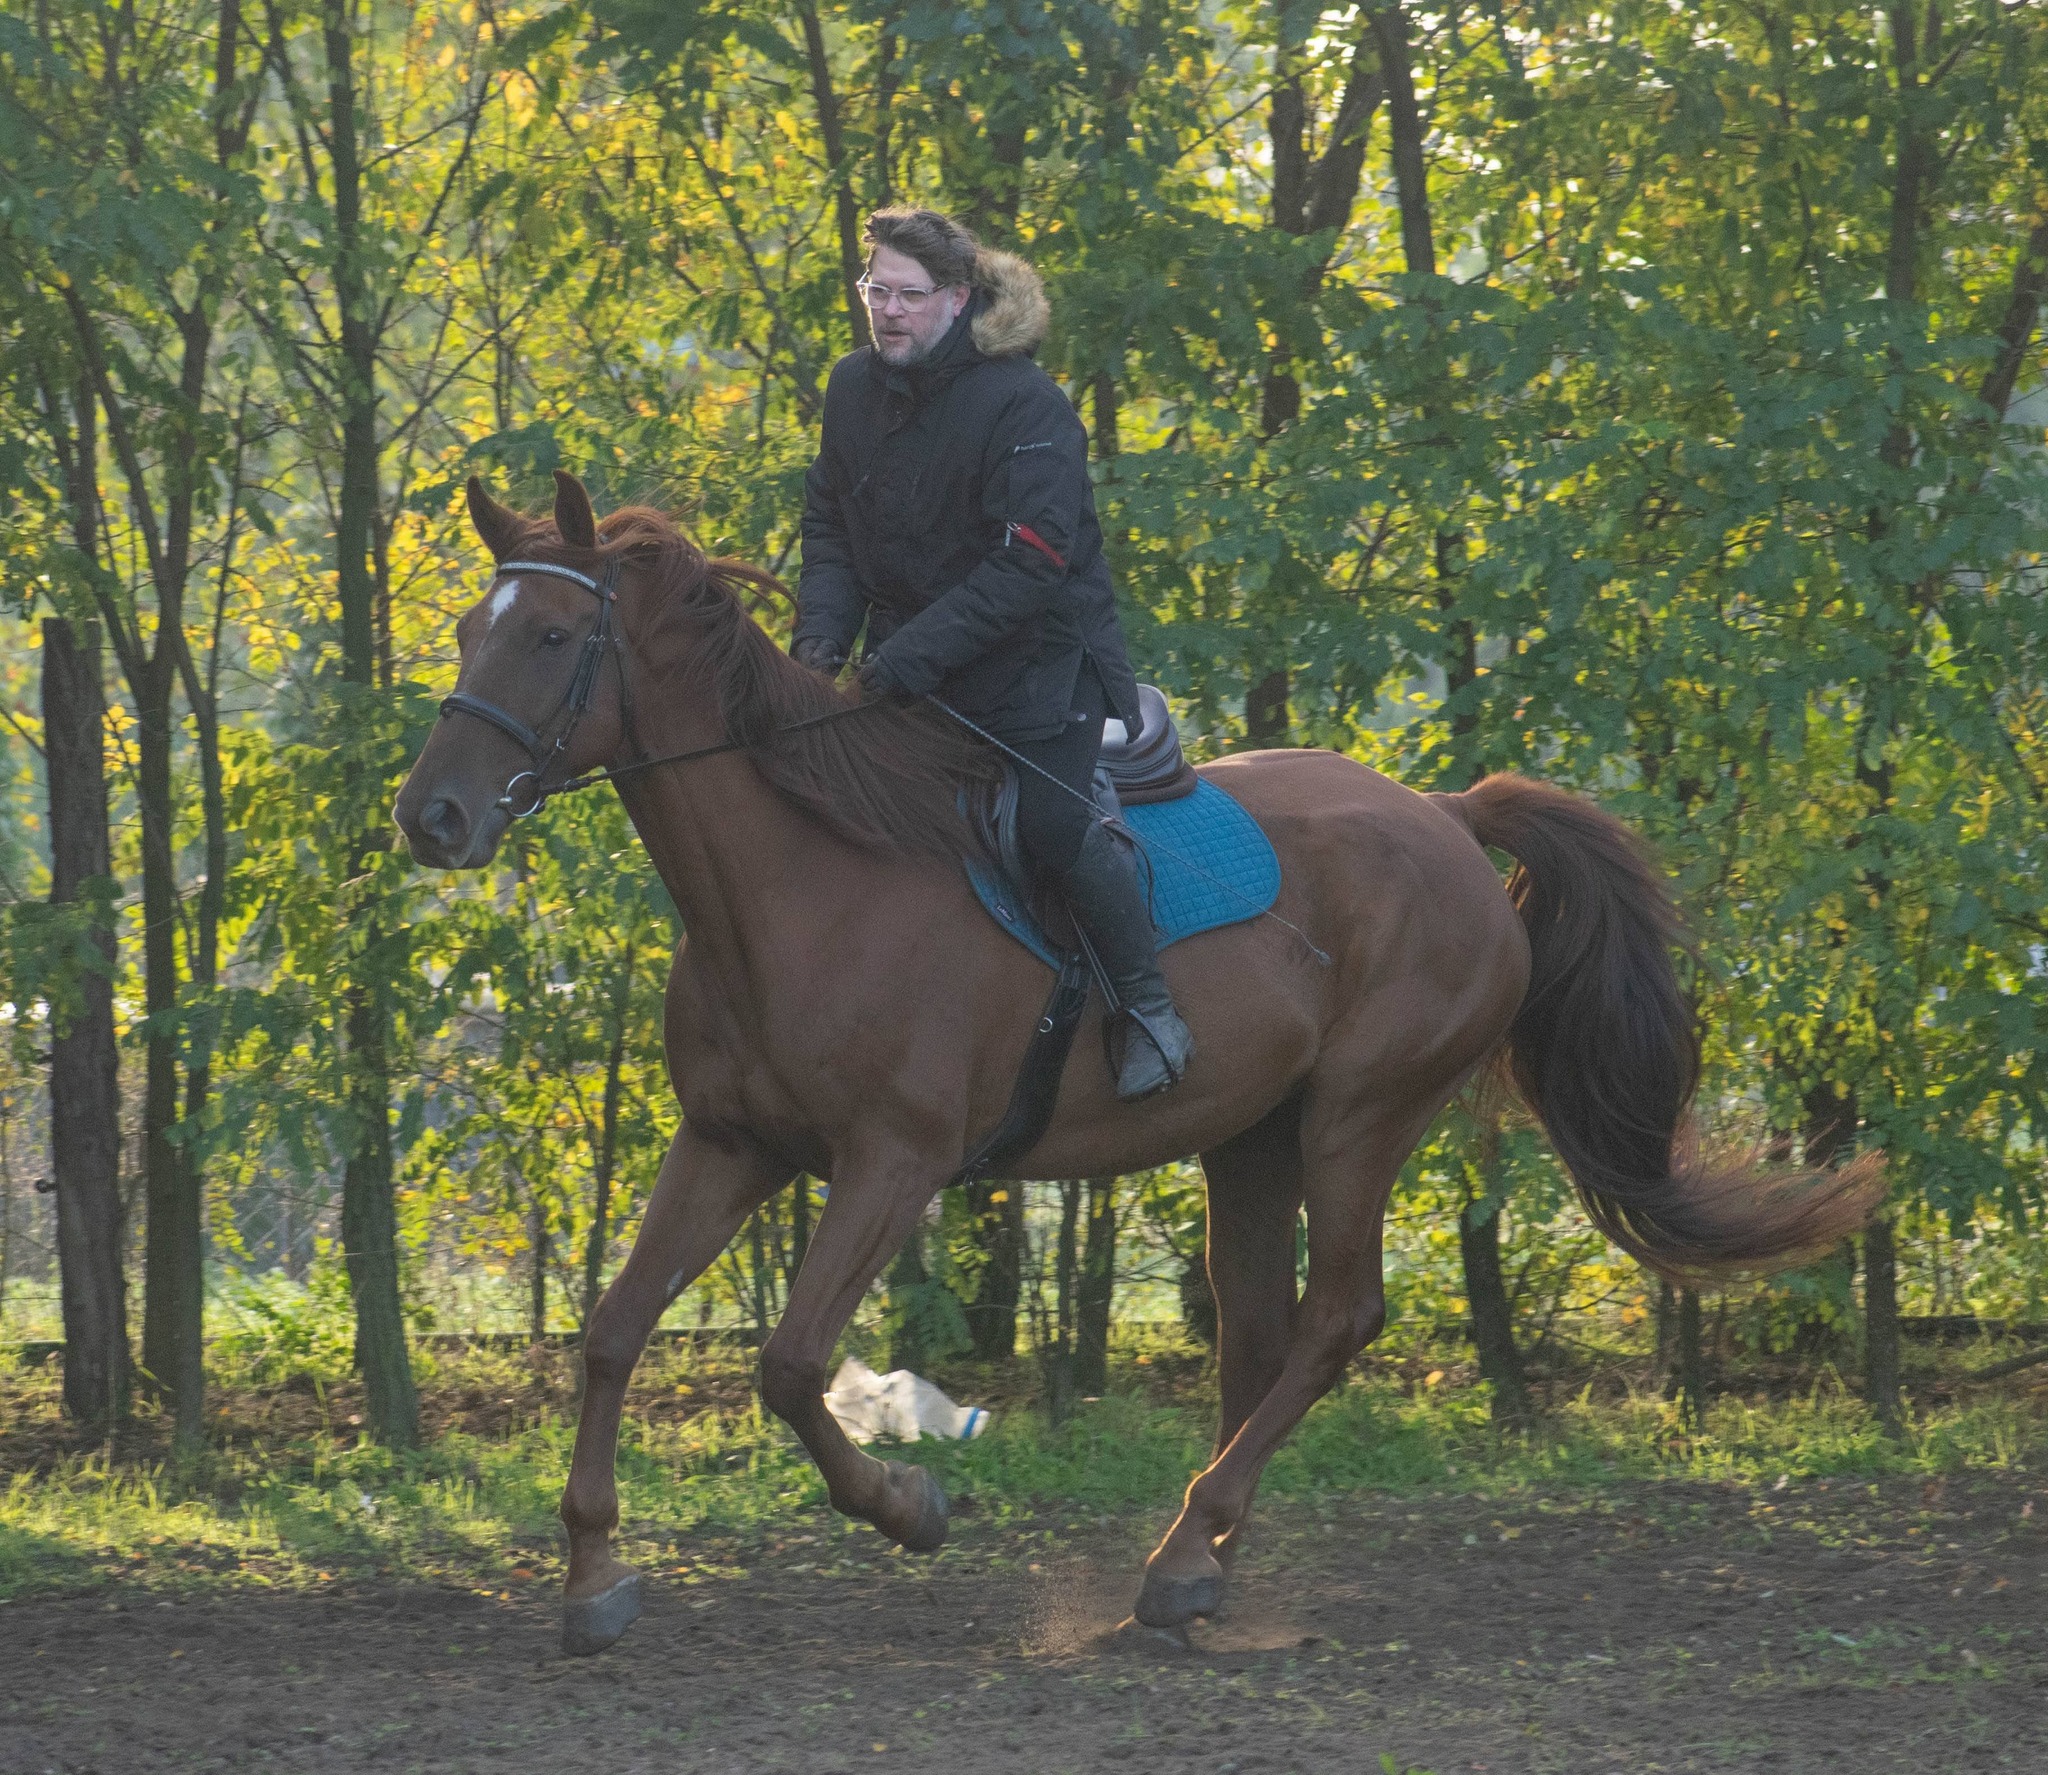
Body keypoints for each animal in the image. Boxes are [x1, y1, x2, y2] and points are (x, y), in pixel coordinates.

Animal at [391, 472, 1875, 1654]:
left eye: (554, 634)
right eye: (471, 629)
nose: (433, 816)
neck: (802, 880)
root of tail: (1447, 813)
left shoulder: (893, 1163)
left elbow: (794, 1363)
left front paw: (911, 1504)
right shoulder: (732, 1144)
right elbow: (612, 1329)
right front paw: (594, 1572)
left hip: (1359, 1116)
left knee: (1336, 1320)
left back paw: (1181, 1553)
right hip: (1252, 1137)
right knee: (1260, 1334)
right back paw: (1197, 1563)